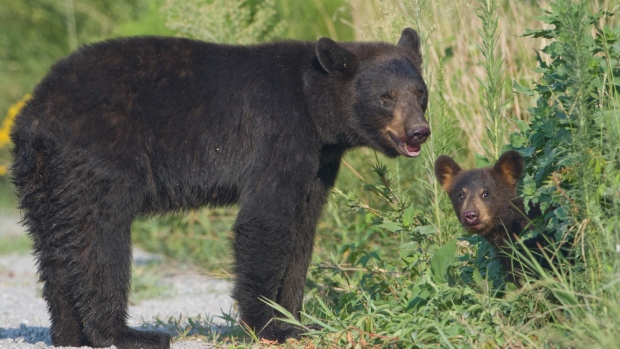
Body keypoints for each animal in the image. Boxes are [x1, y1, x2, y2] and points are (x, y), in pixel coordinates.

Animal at [10, 28, 432, 346]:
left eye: (420, 92)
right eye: (386, 96)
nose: (419, 132)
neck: (314, 106)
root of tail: (36, 113)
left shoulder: (318, 164)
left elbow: (302, 232)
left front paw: (295, 321)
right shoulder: (279, 135)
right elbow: (265, 222)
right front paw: (267, 324)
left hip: (43, 179)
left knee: (55, 247)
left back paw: (68, 333)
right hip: (100, 159)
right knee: (100, 240)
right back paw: (125, 334)